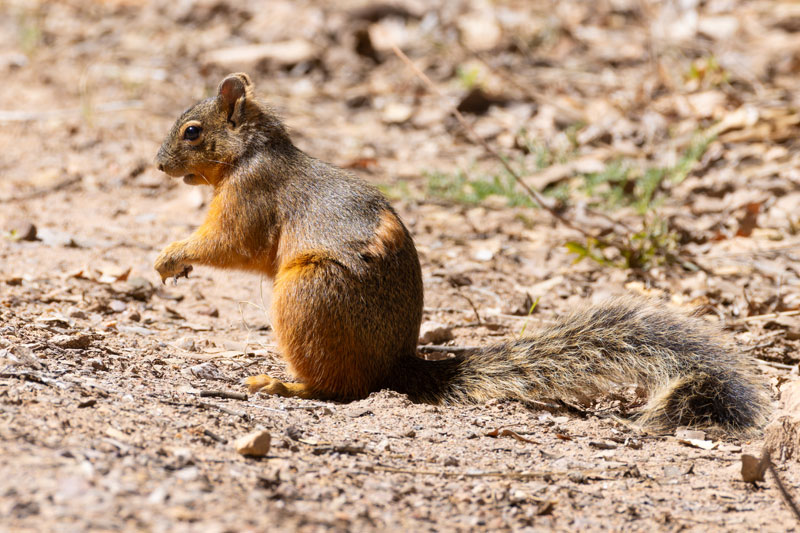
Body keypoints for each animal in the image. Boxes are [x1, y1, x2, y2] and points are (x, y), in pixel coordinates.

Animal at [154, 73, 769, 435]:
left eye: (192, 131)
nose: (158, 164)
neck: (249, 152)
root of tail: (396, 363)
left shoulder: (251, 198)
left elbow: (230, 243)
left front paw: (172, 254)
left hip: (309, 294)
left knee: (344, 389)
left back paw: (285, 384)